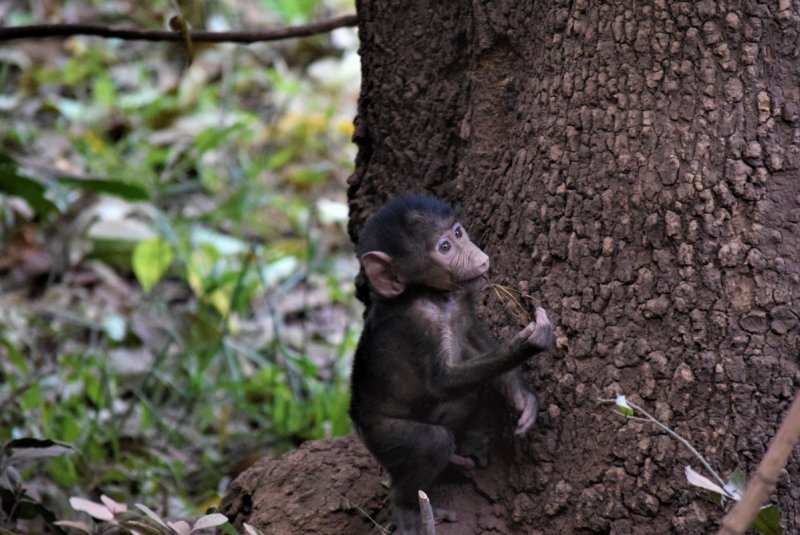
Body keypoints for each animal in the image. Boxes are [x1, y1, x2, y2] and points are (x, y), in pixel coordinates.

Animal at [349, 194, 554, 534]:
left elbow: (472, 334)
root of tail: (356, 419)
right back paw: (408, 509)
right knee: (431, 442)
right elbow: (440, 382)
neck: (433, 296)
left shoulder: (461, 300)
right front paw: (529, 342)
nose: (479, 256)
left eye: (458, 233)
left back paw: (464, 451)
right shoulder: (416, 324)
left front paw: (521, 395)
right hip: (380, 432)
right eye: (444, 247)